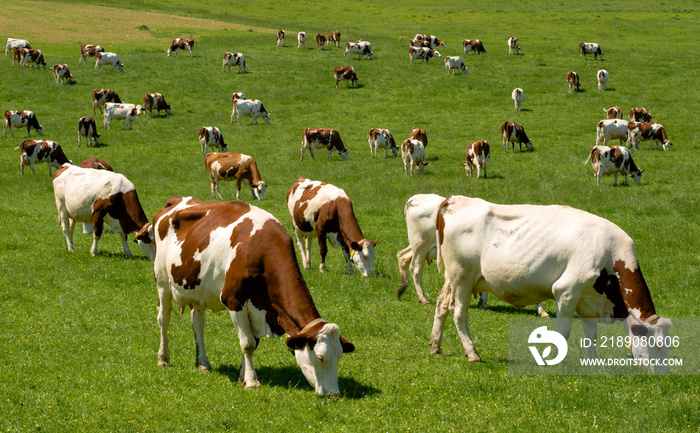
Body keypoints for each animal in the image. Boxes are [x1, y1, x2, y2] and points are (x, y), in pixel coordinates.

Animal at [150, 196, 352, 394]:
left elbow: (254, 341)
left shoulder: (262, 307)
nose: (334, 394)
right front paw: (251, 381)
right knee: (164, 319)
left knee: (197, 325)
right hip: (162, 282)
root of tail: (176, 200)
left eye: (339, 356)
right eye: (320, 357)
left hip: (199, 292)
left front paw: (243, 375)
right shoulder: (234, 300)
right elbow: (247, 343)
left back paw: (203, 364)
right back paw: (163, 358)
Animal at [432, 194, 672, 372]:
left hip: (451, 278)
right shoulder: (566, 291)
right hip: (462, 276)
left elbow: (591, 336)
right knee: (458, 312)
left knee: (442, 305)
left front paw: (593, 363)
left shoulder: (588, 301)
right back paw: (472, 352)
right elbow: (563, 333)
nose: (665, 373)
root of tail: (455, 199)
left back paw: (436, 346)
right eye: (656, 345)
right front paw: (557, 362)